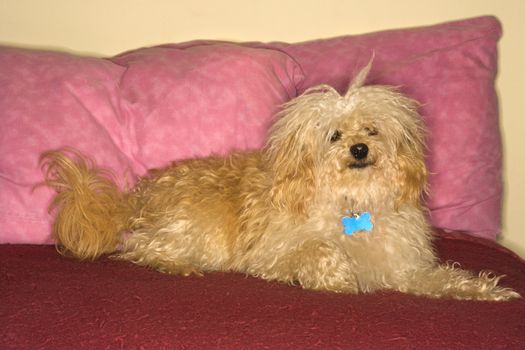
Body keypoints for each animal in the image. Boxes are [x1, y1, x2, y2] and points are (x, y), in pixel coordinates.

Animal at [40, 63, 516, 300]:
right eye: (334, 136)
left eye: (372, 130)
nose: (359, 150)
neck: (352, 202)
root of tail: (136, 195)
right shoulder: (271, 256)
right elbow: (319, 250)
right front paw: (337, 279)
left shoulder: (403, 267)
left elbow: (442, 280)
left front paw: (485, 290)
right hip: (198, 230)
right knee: (140, 249)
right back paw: (178, 265)